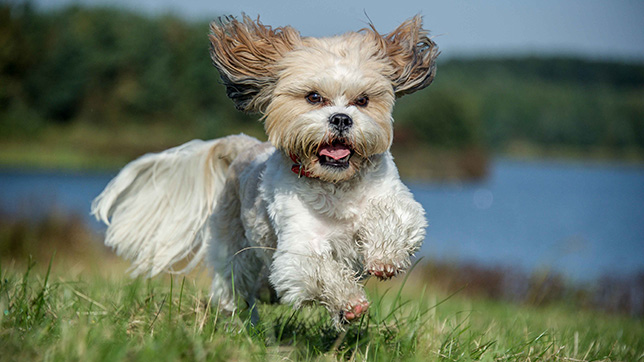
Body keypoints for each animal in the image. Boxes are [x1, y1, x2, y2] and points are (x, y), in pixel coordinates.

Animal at [92, 14, 438, 326]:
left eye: (363, 100)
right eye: (314, 97)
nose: (341, 118)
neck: (334, 183)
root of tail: (243, 145)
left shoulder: (392, 199)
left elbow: (393, 217)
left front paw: (384, 257)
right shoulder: (299, 244)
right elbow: (316, 270)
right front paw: (349, 302)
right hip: (236, 250)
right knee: (236, 286)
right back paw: (240, 322)